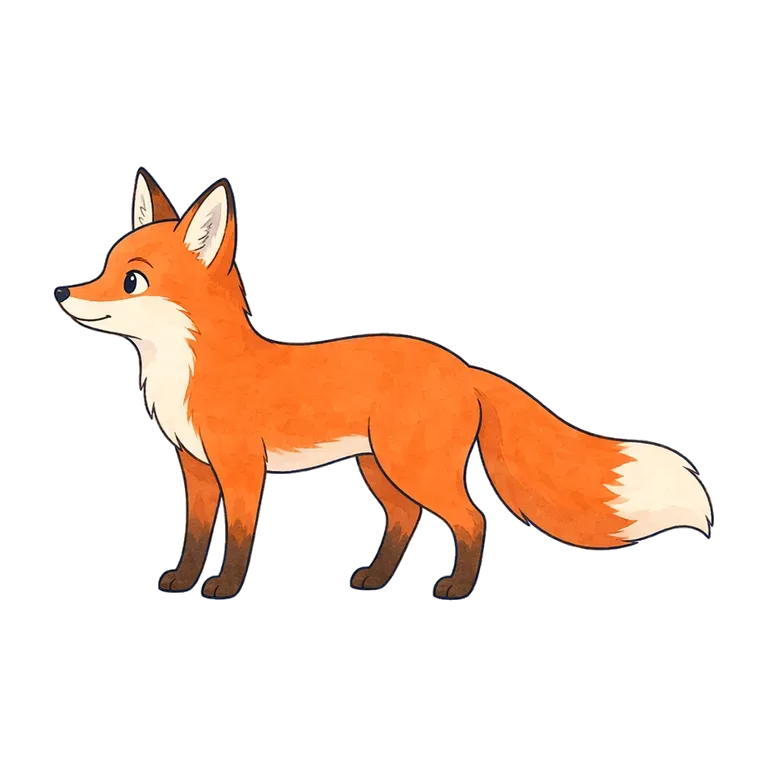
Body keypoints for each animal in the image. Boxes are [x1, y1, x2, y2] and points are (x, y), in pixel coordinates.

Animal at [54, 168, 713, 600]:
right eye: (106, 266)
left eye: (132, 280)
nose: (61, 291)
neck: (192, 368)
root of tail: (465, 367)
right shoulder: (196, 468)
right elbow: (193, 535)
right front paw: (183, 582)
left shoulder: (241, 469)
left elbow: (238, 537)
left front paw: (224, 587)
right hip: (381, 469)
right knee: (405, 520)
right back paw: (374, 579)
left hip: (411, 467)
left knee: (471, 520)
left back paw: (456, 588)